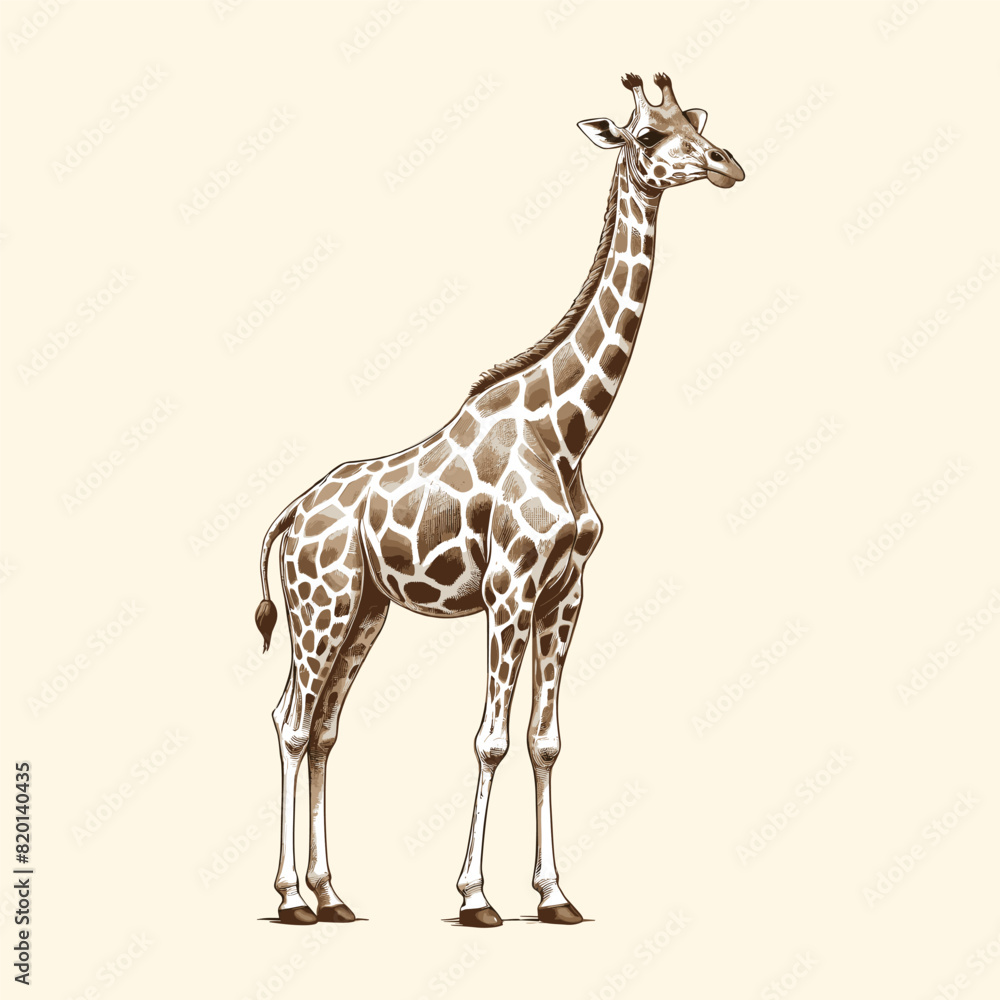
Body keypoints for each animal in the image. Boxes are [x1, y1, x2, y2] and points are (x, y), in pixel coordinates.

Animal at [253, 72, 744, 928]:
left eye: (694, 121)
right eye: (650, 135)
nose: (727, 164)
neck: (567, 432)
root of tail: (293, 512)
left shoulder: (566, 590)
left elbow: (546, 740)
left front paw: (555, 895)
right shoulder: (508, 586)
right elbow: (491, 738)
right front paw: (476, 895)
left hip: (366, 609)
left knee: (324, 729)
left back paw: (332, 894)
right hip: (322, 603)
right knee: (290, 721)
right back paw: (289, 898)